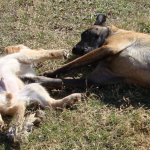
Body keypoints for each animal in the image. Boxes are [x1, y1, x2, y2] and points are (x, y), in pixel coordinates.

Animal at [20, 13, 150, 88]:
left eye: (85, 33)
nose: (74, 49)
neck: (113, 32)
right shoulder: (93, 80)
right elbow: (55, 81)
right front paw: (30, 79)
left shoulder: (109, 48)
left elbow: (72, 64)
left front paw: (51, 72)